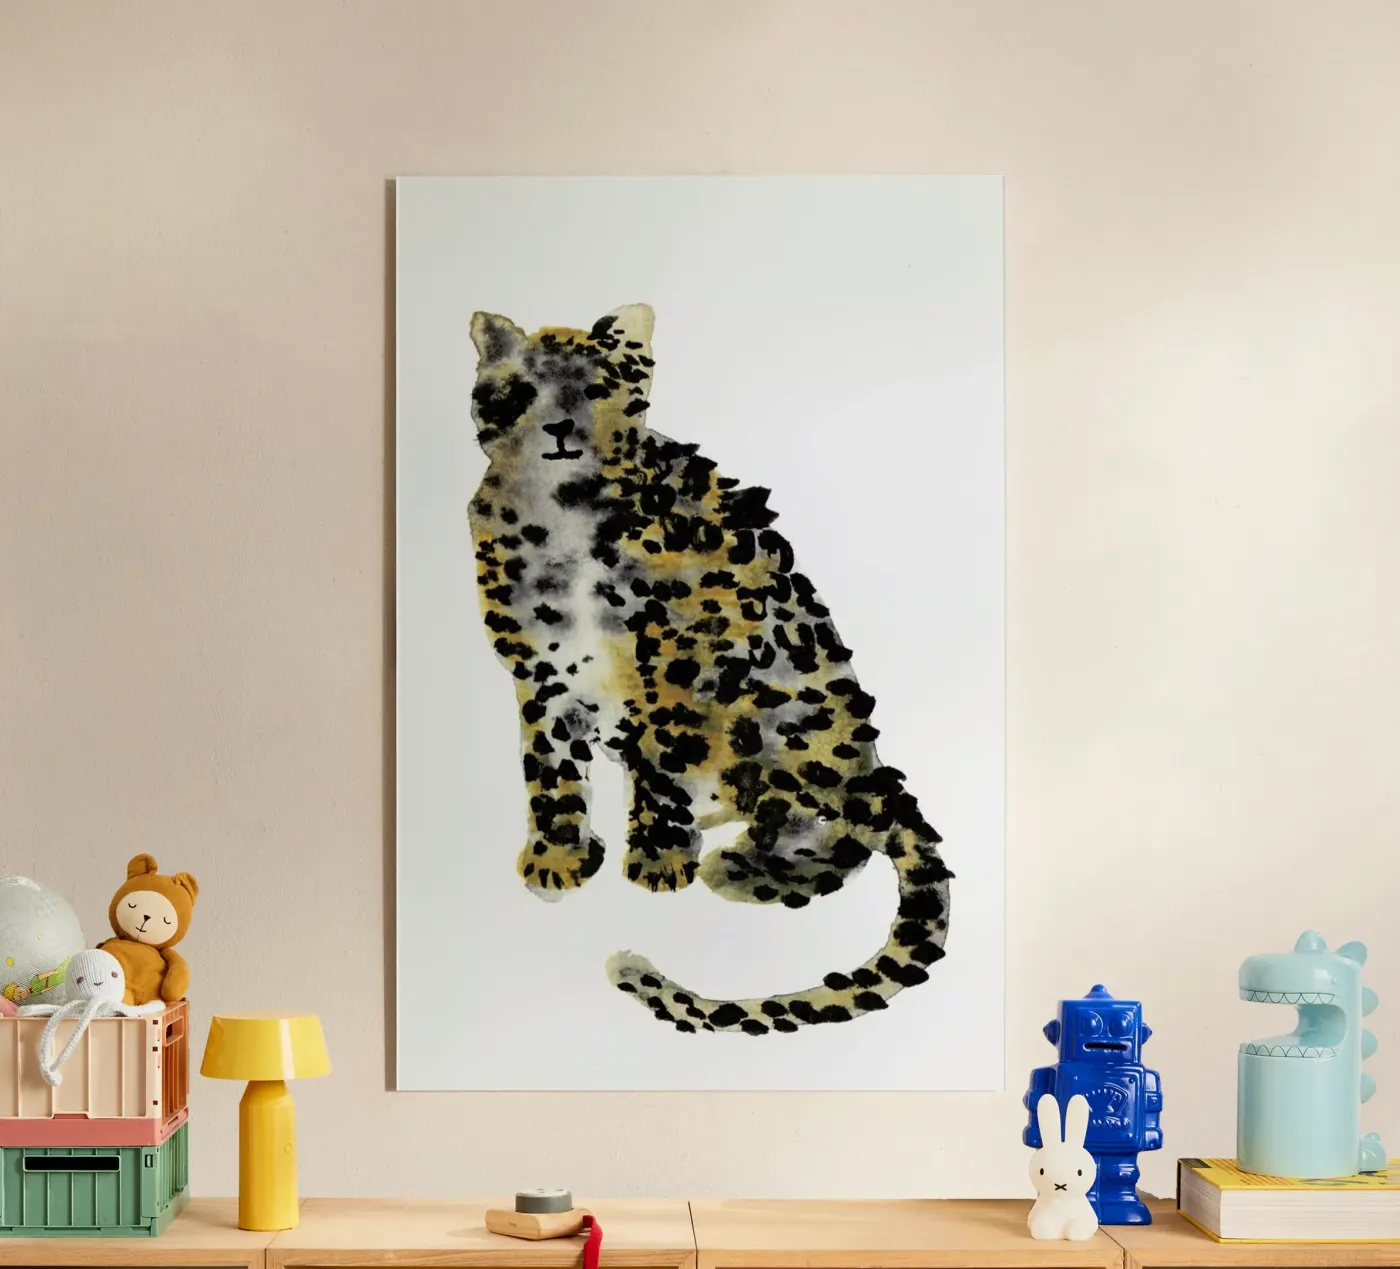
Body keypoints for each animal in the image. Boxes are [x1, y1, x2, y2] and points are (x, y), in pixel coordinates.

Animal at [466, 303, 953, 1034]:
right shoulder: (539, 665)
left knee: (836, 833)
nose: (559, 430)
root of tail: (872, 771)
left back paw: (739, 867)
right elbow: (549, 767)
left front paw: (658, 860)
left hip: (795, 712)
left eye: (595, 389)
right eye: (525, 389)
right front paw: (557, 858)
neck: (559, 514)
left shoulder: (678, 655)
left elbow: (662, 756)